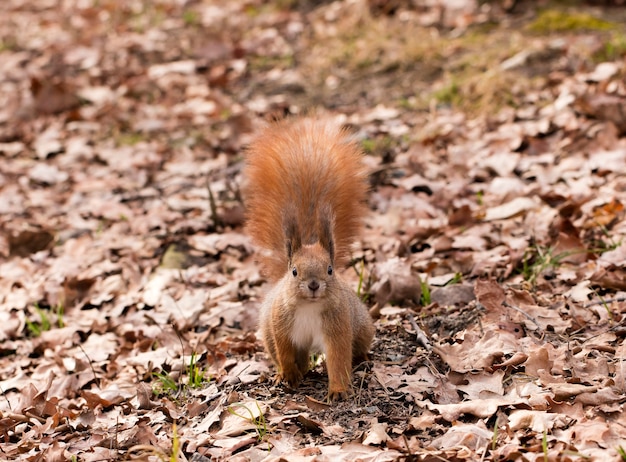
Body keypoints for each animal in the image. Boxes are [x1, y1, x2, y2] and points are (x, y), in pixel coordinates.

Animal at [241, 116, 372, 400]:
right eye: (294, 272)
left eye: (330, 269)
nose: (313, 285)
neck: (310, 307)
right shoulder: (280, 325)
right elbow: (285, 352)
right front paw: (288, 376)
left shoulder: (338, 329)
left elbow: (338, 360)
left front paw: (338, 390)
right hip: (267, 332)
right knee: (289, 357)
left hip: (362, 327)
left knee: (357, 349)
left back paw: (363, 359)